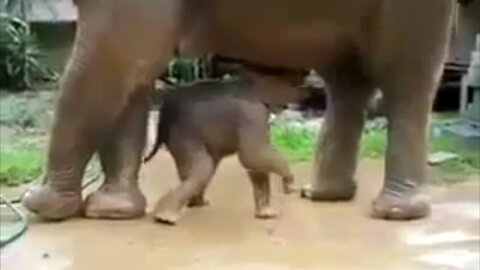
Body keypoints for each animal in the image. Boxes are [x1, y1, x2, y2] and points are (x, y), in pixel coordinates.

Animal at [144, 74, 298, 224]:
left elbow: (255, 166)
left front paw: (266, 214)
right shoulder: (252, 114)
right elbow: (252, 156)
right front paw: (290, 186)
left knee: (197, 170)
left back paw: (196, 203)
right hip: (185, 134)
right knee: (204, 168)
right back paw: (165, 217)